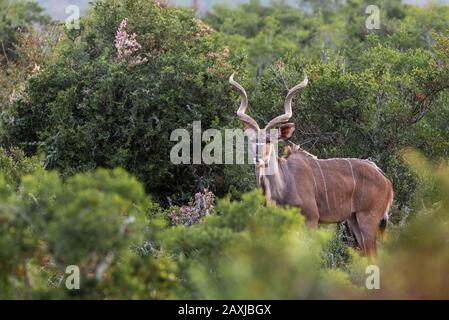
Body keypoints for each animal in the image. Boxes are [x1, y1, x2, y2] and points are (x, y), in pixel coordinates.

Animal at [229, 73, 394, 258]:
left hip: (368, 218)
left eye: (269, 140)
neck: (285, 183)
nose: (258, 159)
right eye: (251, 140)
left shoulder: (312, 219)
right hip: (354, 219)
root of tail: (386, 181)